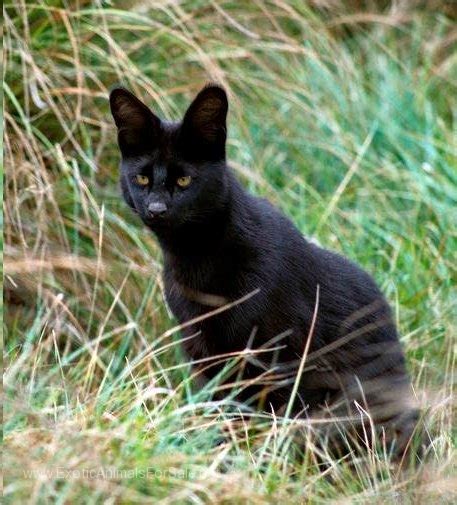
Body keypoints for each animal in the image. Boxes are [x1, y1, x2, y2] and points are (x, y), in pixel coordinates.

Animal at [108, 83, 418, 456]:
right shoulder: (201, 351)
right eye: (141, 177)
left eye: (184, 180)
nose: (156, 208)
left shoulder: (284, 354)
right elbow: (220, 413)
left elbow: (281, 419)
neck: (198, 261)